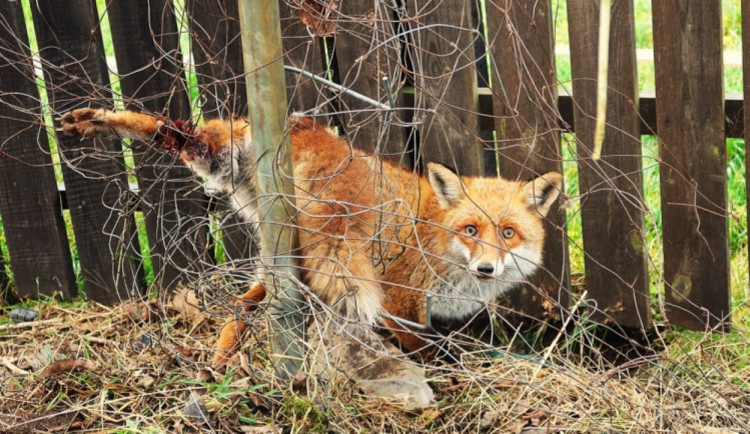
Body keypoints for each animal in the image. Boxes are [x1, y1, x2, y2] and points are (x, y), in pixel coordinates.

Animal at [60, 107, 564, 356]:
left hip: (263, 224)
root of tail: (310, 132)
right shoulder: (400, 302)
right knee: (177, 132)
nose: (487, 268)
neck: (437, 238)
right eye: (471, 228)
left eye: (508, 233)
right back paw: (100, 118)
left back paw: (223, 355)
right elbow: (422, 350)